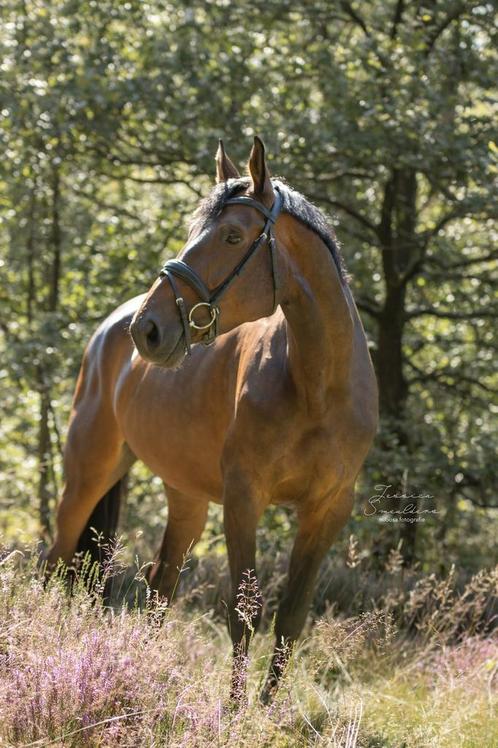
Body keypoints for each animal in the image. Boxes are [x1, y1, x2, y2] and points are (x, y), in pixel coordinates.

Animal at [48, 136, 380, 700]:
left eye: (232, 235)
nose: (148, 330)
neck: (317, 388)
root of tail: (109, 327)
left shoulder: (328, 510)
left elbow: (291, 618)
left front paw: (267, 708)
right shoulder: (245, 498)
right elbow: (244, 614)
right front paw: (235, 708)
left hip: (186, 496)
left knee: (160, 584)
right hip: (88, 474)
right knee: (57, 559)